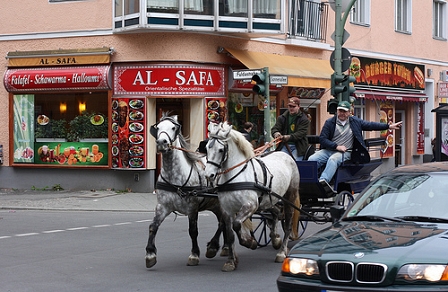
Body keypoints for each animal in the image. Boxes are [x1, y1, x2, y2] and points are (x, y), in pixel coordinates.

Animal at [145, 113, 228, 268]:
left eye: (173, 128)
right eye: (157, 128)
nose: (162, 142)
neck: (174, 177)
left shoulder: (192, 208)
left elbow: (193, 231)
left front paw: (194, 254)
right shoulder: (162, 206)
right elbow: (153, 226)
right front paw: (150, 254)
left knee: (223, 222)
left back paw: (213, 246)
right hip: (215, 205)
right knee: (224, 222)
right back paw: (225, 247)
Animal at [205, 121, 300, 272]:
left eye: (220, 150)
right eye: (207, 148)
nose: (209, 175)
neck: (236, 176)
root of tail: (286, 155)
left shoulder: (251, 205)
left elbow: (237, 224)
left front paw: (250, 242)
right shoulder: (227, 209)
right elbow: (230, 233)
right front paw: (231, 261)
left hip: (289, 197)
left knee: (288, 223)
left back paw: (281, 252)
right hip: (269, 200)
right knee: (276, 213)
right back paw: (275, 238)